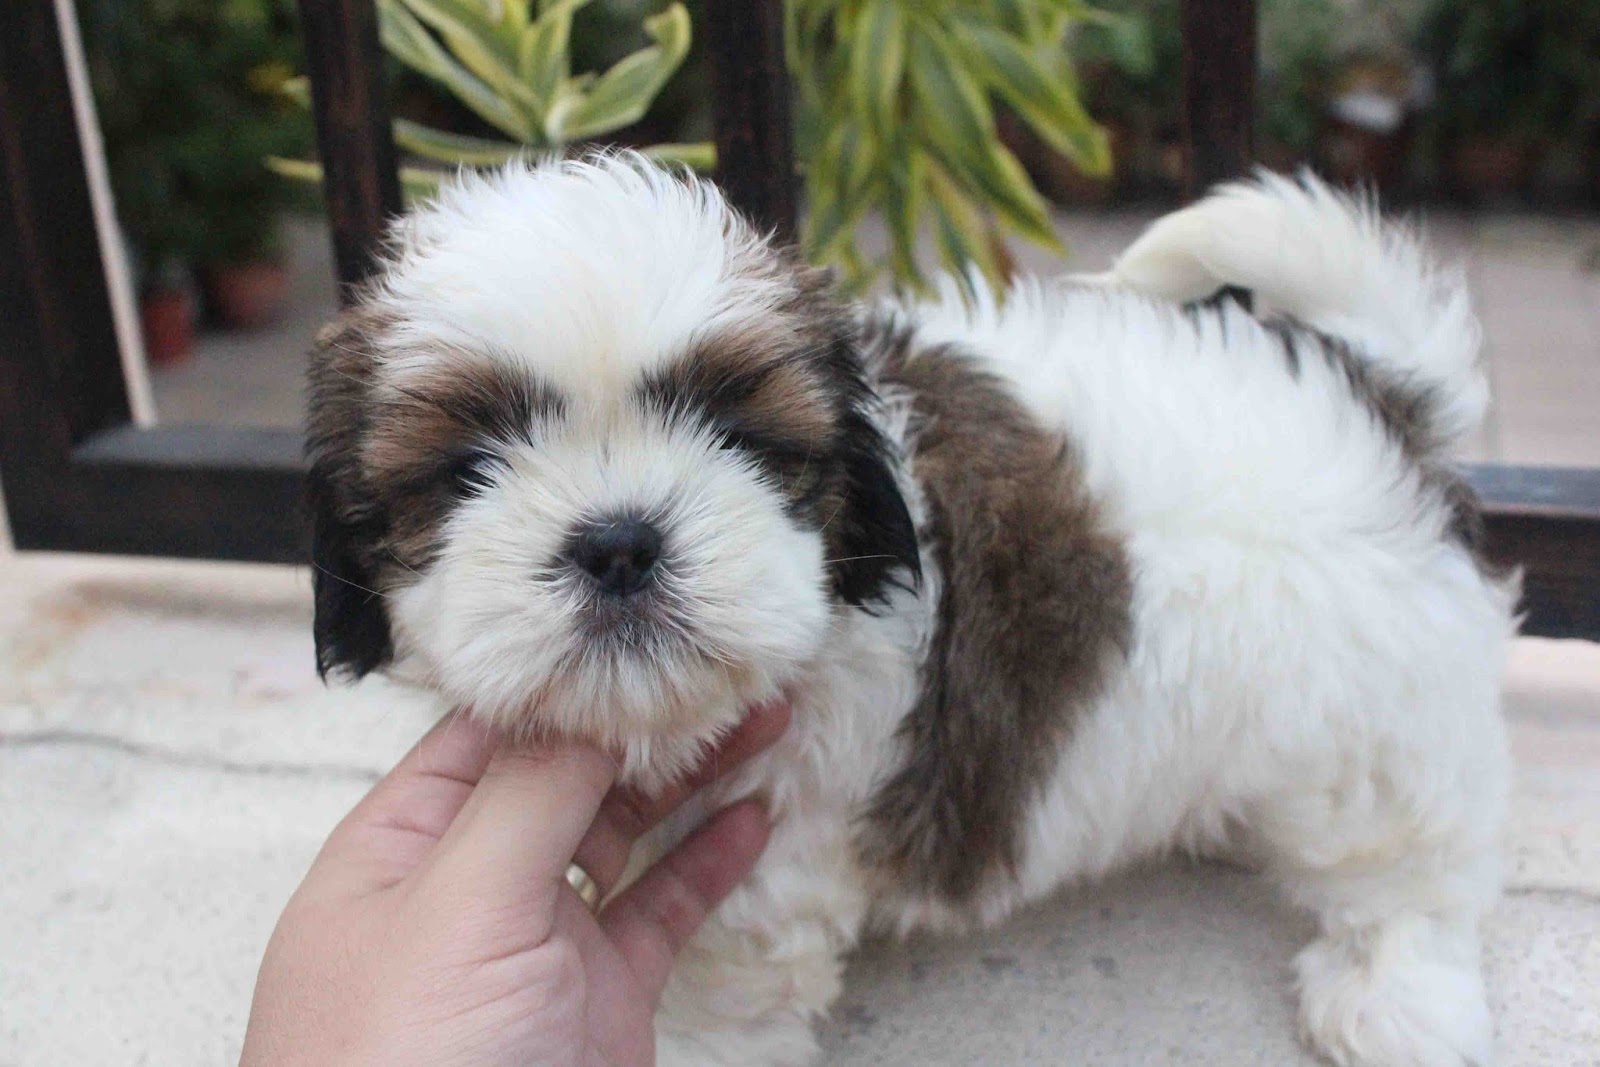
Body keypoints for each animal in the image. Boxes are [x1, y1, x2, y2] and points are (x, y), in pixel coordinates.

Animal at [308, 151, 1510, 1067]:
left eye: (738, 433)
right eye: (466, 467)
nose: (617, 540)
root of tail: (1382, 395)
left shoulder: (772, 859)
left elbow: (717, 977)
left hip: (1366, 724)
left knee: (1407, 859)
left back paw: (1394, 990)